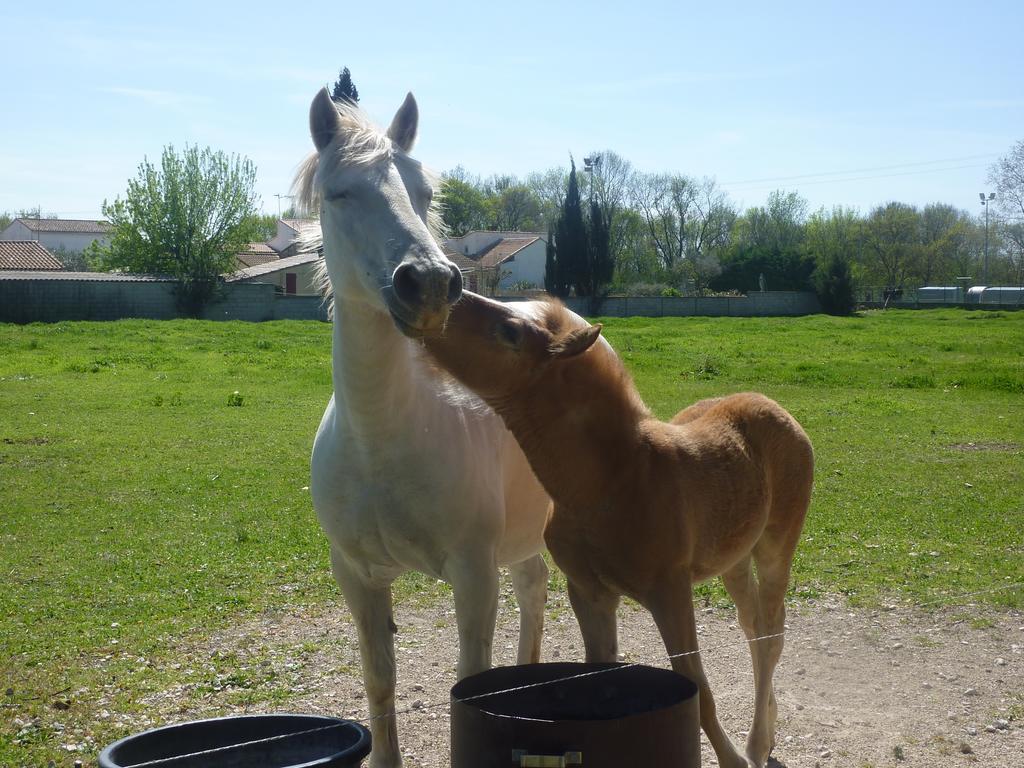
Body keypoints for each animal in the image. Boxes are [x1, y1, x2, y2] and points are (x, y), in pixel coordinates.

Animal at [294, 87, 552, 765]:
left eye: (425, 192)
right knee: (535, 588)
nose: (430, 282)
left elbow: (470, 681)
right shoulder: (357, 577)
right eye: (340, 193)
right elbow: (379, 680)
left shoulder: (473, 574)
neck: (383, 439)